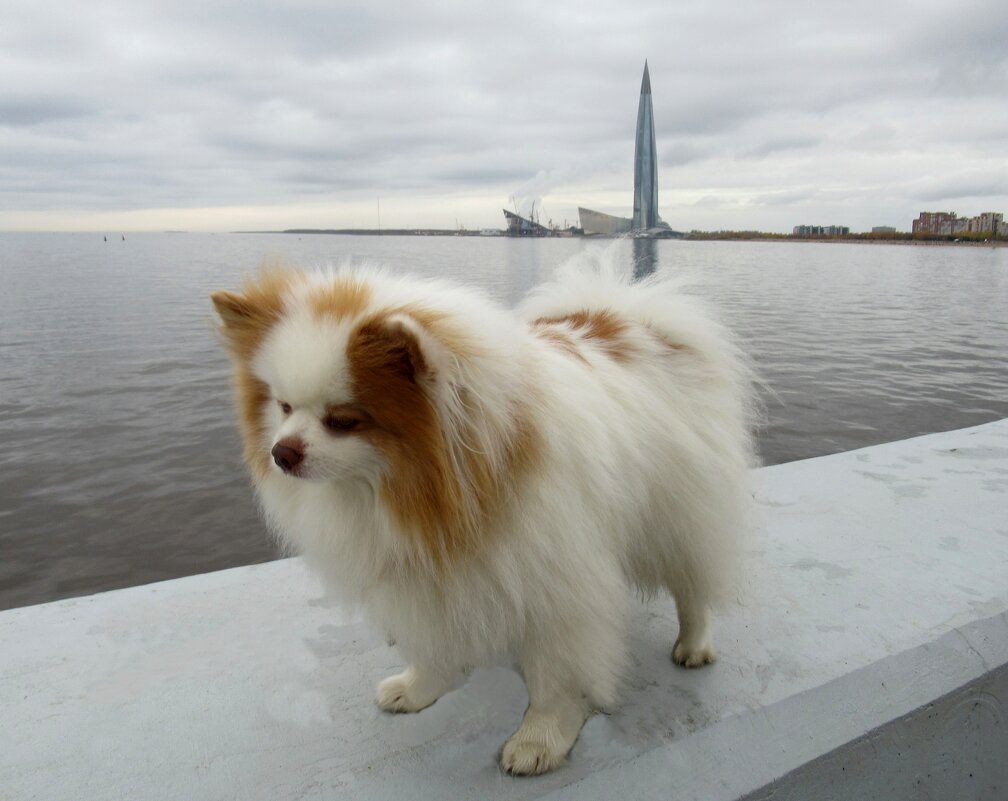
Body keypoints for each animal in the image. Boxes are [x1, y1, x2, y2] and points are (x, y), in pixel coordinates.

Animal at [208, 251, 753, 777]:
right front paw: (418, 689)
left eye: (342, 421)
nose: (282, 453)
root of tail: (630, 318)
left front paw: (541, 739)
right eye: (283, 407)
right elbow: (430, 644)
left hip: (679, 511)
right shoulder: (424, 575)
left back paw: (694, 644)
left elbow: (557, 673)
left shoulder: (556, 576)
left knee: (693, 582)